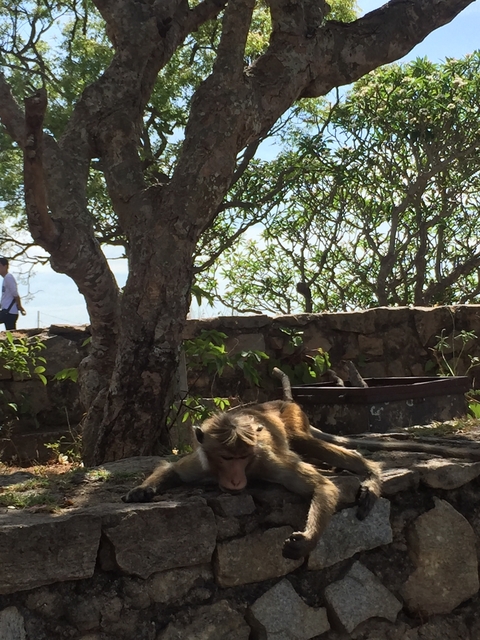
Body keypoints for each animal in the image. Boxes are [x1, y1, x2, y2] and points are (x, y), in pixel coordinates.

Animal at [122, 368, 383, 560]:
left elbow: (321, 486)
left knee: (303, 441)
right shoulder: (201, 463)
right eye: (227, 458)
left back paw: (369, 473)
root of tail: (283, 400)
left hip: (294, 416)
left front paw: (308, 539)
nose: (236, 479)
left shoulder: (269, 463)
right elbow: (173, 470)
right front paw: (141, 490)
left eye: (243, 457)